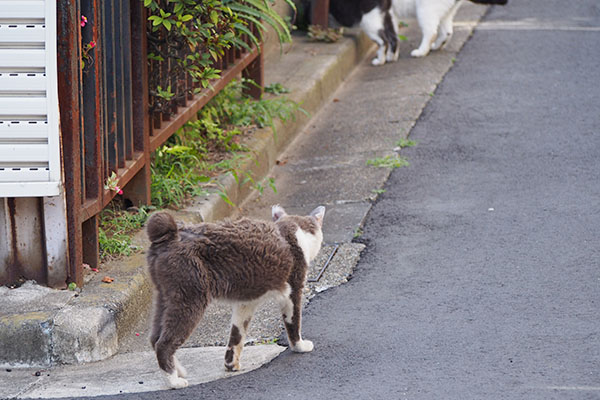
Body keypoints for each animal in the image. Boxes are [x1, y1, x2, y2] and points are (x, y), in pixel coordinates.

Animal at [145, 205, 326, 390]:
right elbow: (294, 322)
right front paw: (300, 346)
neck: (291, 229)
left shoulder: (246, 303)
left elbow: (237, 333)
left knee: (154, 338)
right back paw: (174, 381)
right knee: (164, 344)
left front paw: (231, 364)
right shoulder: (293, 290)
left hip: (165, 296)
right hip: (189, 298)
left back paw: (179, 370)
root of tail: (169, 236)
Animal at [328, 0, 506, 65]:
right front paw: (392, 56)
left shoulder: (370, 13)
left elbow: (384, 39)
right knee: (446, 31)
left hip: (425, 8)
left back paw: (421, 51)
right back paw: (435, 46)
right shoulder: (387, 12)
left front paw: (382, 59)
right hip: (445, 10)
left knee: (431, 31)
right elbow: (393, 35)